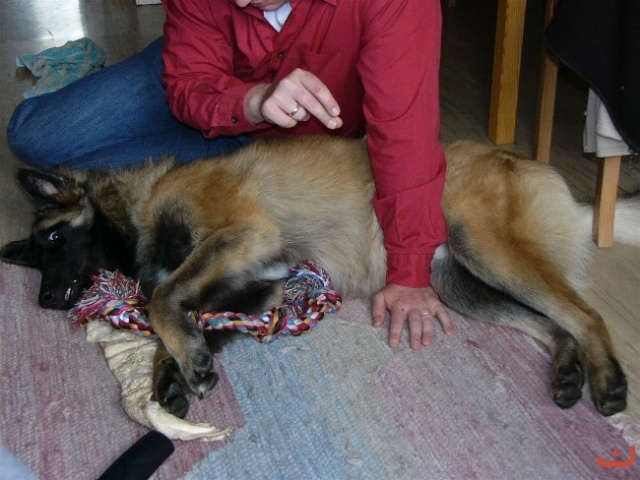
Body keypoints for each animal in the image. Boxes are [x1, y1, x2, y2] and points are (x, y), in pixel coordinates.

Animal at [2, 136, 638, 419]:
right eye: (33, 258)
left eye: (53, 239)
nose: (45, 300)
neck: (143, 202)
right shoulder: (260, 286)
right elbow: (189, 317)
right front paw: (176, 371)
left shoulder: (244, 237)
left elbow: (161, 299)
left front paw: (182, 361)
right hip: (459, 281)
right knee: (553, 324)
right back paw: (567, 369)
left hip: (486, 249)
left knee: (584, 313)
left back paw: (607, 379)